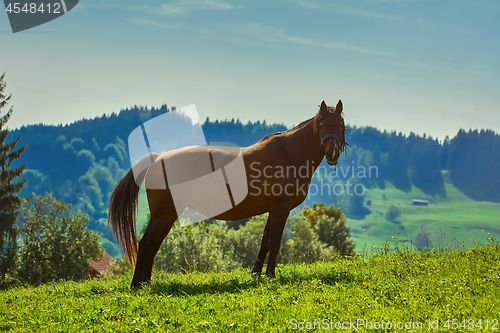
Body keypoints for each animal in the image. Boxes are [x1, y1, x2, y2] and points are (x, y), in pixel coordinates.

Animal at [108, 98, 348, 286]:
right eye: (323, 124)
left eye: (341, 125)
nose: (332, 153)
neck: (288, 154)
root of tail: (158, 157)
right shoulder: (281, 208)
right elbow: (274, 243)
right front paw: (270, 276)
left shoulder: (273, 209)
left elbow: (264, 242)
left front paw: (256, 274)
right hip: (162, 215)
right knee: (146, 244)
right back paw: (136, 285)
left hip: (168, 216)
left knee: (154, 245)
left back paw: (146, 282)